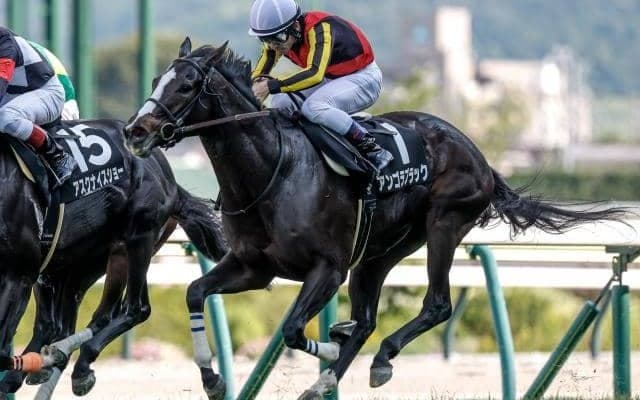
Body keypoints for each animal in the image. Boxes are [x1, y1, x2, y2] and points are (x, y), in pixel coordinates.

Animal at [0, 118, 228, 399]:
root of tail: (169, 177)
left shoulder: (18, 275)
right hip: (76, 264)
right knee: (63, 324)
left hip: (133, 242)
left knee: (134, 309)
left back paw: (77, 366)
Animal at [123, 38, 629, 400]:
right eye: (156, 78)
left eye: (187, 86)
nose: (135, 130)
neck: (272, 171)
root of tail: (480, 156)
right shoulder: (253, 267)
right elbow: (194, 292)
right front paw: (212, 379)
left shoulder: (327, 269)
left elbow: (292, 330)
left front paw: (329, 347)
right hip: (379, 252)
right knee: (367, 318)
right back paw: (332, 373)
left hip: (444, 225)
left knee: (436, 305)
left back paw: (373, 360)